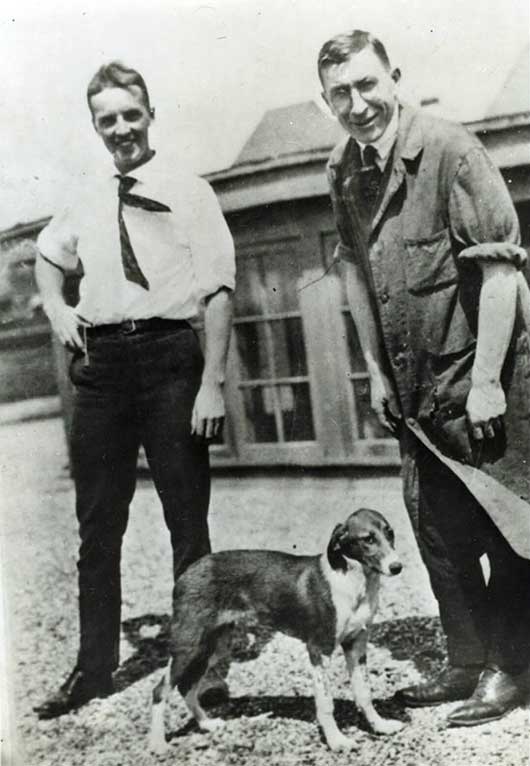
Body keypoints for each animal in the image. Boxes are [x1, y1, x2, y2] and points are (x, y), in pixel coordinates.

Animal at [149, 508, 404, 754]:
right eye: (368, 539)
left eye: (390, 533)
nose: (397, 567)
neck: (353, 581)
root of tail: (189, 571)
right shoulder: (319, 649)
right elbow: (325, 703)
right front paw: (336, 741)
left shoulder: (356, 644)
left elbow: (364, 693)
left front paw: (380, 726)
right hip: (189, 646)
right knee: (160, 690)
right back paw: (158, 744)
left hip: (213, 647)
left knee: (187, 688)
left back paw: (207, 724)